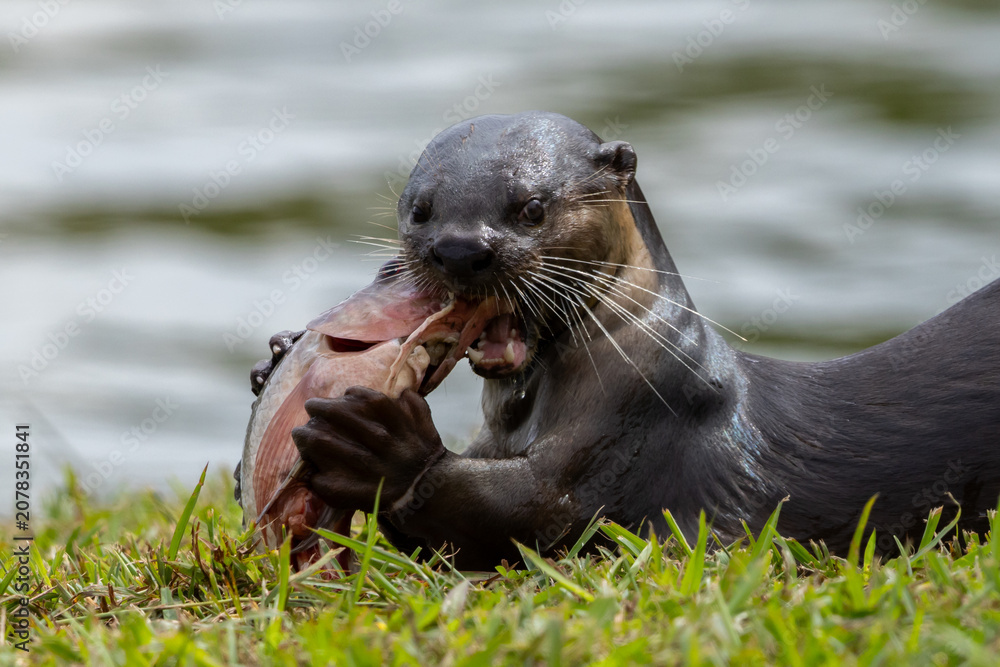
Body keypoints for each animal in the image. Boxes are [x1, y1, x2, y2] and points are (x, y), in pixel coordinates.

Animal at [255, 111, 1000, 568]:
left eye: (532, 207)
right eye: (421, 209)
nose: (460, 250)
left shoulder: (630, 431)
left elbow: (531, 510)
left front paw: (382, 450)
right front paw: (276, 359)